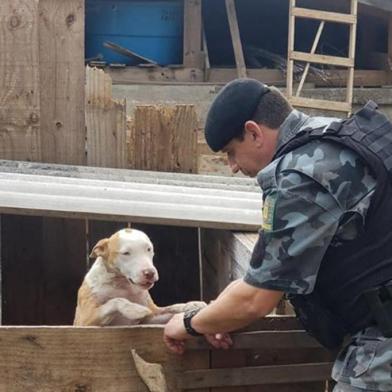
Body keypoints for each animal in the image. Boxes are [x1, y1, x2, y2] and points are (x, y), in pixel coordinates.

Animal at [72, 228, 205, 326]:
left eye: (149, 249)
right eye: (126, 253)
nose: (150, 273)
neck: (122, 284)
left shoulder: (152, 317)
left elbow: (170, 308)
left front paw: (190, 305)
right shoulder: (85, 319)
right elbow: (115, 300)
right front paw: (134, 309)